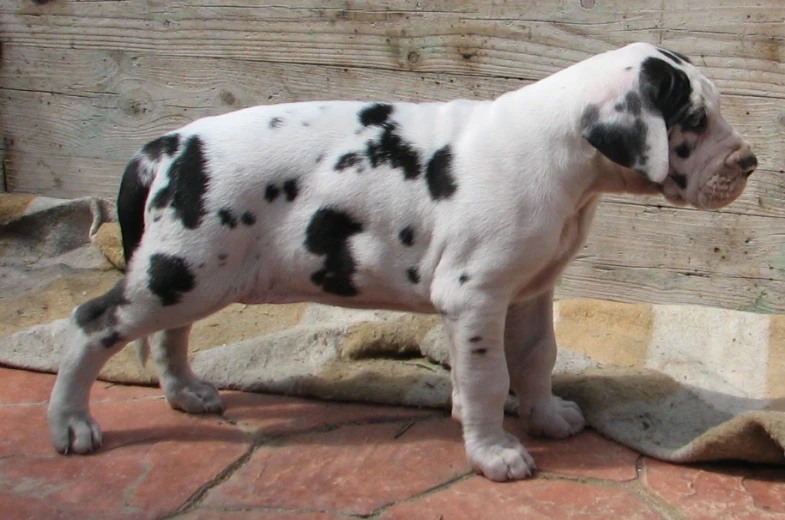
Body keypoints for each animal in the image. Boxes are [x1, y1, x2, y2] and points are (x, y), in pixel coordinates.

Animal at [47, 42, 752, 482]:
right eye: (692, 118)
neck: (563, 157)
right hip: (180, 271)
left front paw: (546, 417)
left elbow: (534, 359)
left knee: (170, 332)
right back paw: (72, 424)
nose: (748, 163)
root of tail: (163, 147)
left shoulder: (528, 292)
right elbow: (489, 377)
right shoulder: (475, 295)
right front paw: (495, 453)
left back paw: (186, 392)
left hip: (194, 275)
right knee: (91, 324)